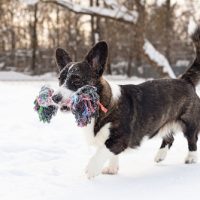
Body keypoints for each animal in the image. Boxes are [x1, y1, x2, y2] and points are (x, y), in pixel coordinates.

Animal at [52, 25, 200, 180]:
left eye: (76, 81)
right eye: (60, 80)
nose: (54, 98)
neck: (101, 104)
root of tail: (185, 80)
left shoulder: (120, 138)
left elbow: (103, 149)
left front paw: (91, 169)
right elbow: (110, 153)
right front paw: (112, 169)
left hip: (190, 122)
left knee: (192, 139)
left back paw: (191, 158)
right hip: (166, 121)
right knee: (169, 138)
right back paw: (160, 156)